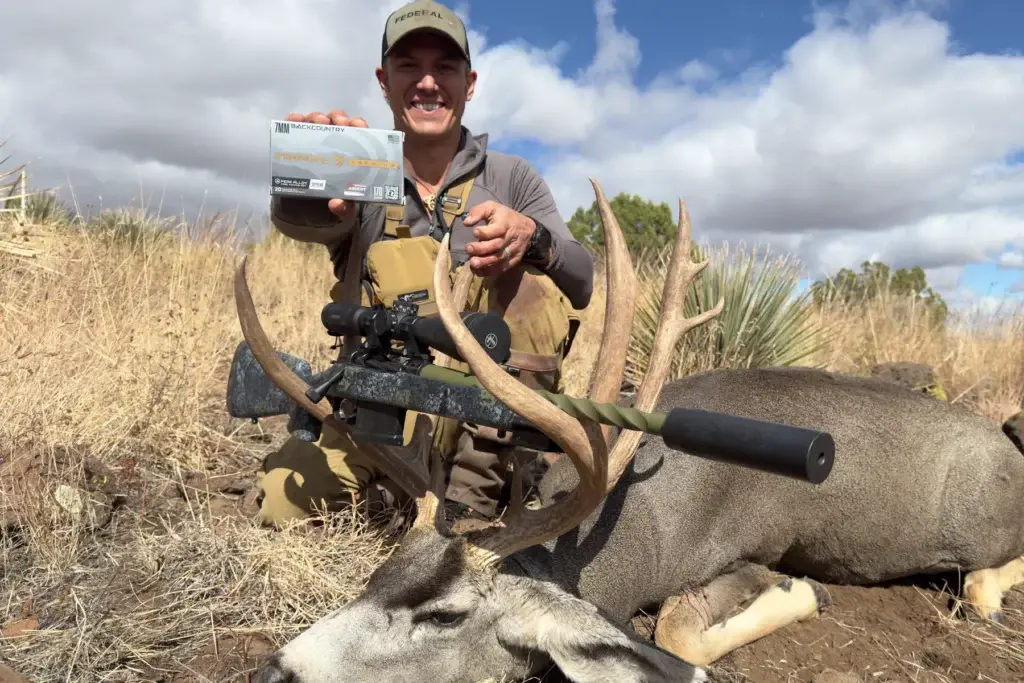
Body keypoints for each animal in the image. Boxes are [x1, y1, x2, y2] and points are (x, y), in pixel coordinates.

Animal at [241, 179, 1024, 679]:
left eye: (443, 617)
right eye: (374, 579)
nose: (272, 672)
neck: (646, 528)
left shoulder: (749, 550)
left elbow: (681, 632)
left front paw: (804, 594)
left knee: (988, 570)